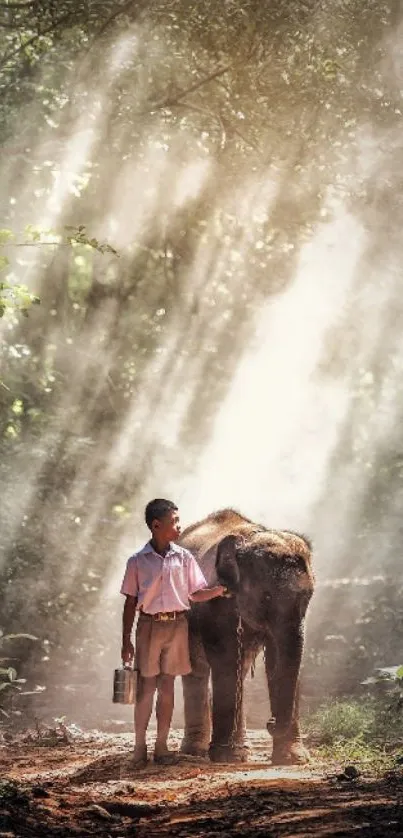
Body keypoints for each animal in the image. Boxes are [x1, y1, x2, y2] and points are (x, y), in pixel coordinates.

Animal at [180, 508, 316, 764]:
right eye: (266, 597)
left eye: (307, 597)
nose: (269, 722)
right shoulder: (215, 602)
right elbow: (225, 661)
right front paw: (224, 756)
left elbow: (276, 660)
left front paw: (293, 759)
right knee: (197, 671)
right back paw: (195, 752)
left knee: (240, 671)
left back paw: (241, 752)